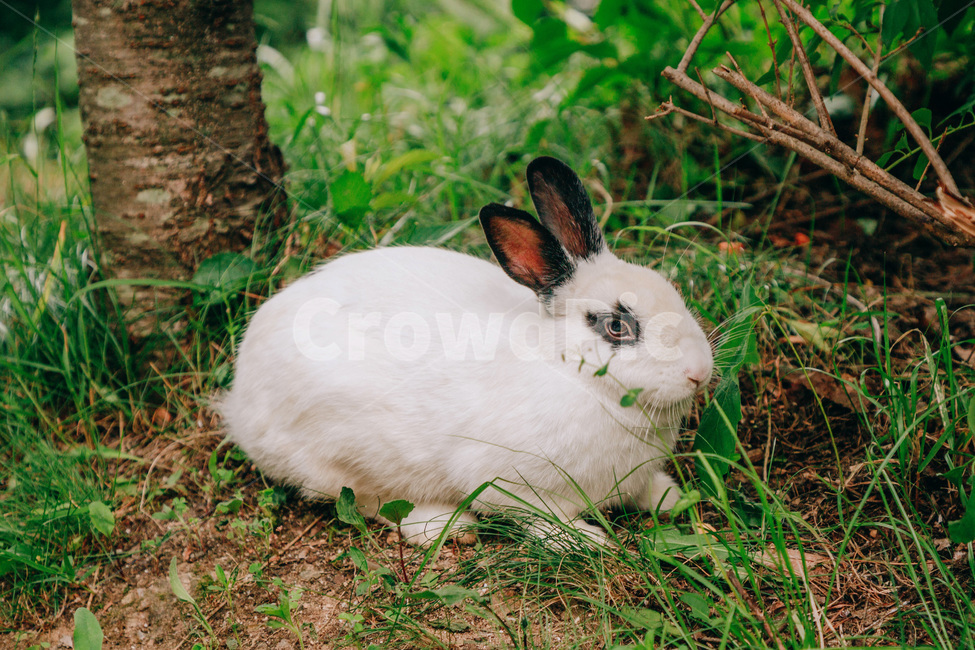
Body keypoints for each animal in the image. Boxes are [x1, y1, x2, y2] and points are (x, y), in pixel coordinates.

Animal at [219, 156, 713, 546]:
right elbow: (542, 517)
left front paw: (671, 497)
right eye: (616, 326)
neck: (571, 372)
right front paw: (588, 542)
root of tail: (239, 399)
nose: (700, 373)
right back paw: (446, 527)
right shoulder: (509, 482)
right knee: (370, 501)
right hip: (347, 454)